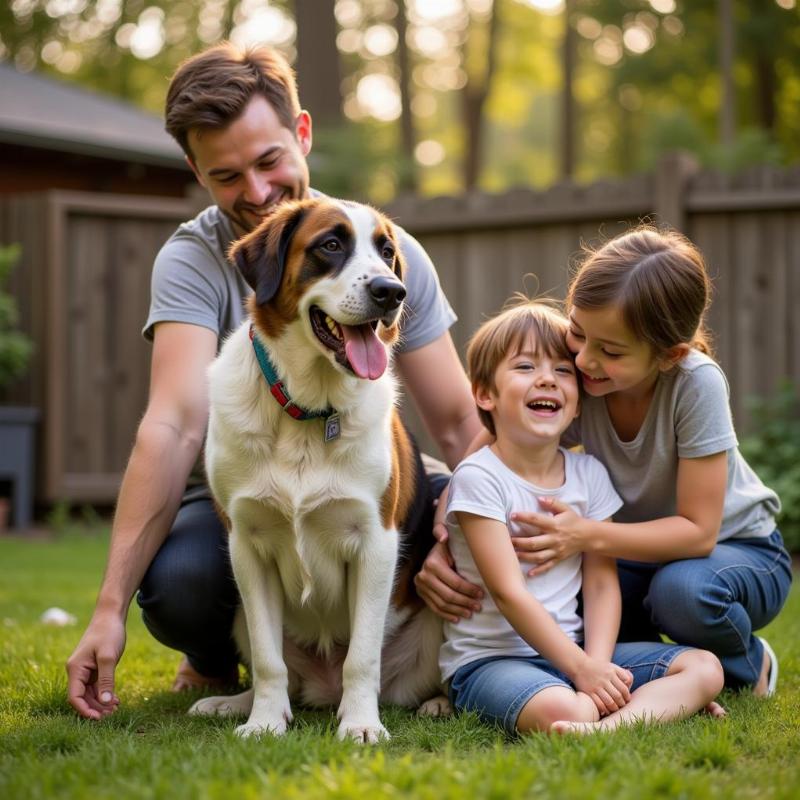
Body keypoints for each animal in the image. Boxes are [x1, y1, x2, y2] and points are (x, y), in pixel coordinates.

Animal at [191, 197, 446, 740]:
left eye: (387, 252)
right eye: (330, 245)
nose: (391, 292)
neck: (307, 410)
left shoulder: (376, 544)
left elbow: (362, 658)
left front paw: (362, 725)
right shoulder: (247, 547)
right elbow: (269, 660)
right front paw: (264, 721)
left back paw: (437, 703)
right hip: (239, 611)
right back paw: (232, 703)